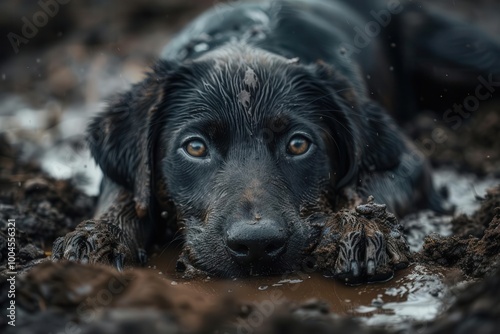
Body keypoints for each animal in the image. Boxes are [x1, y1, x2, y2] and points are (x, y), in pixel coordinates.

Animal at [53, 0, 500, 280]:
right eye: (195, 147)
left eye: (298, 145)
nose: (256, 245)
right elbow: (127, 192)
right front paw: (99, 235)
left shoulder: (406, 160)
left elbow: (362, 183)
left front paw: (362, 228)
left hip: (456, 53)